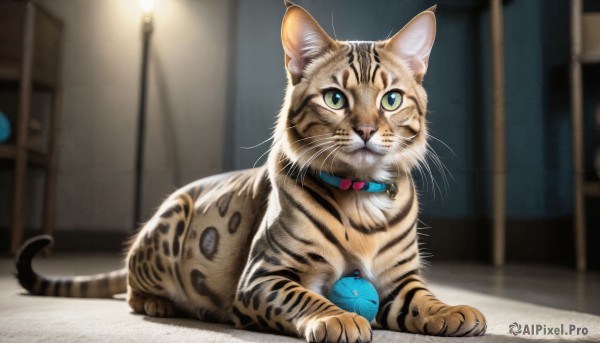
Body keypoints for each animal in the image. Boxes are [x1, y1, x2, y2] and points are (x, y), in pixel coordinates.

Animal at [16, 2, 488, 342]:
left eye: (391, 100)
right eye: (335, 98)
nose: (368, 130)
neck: (359, 199)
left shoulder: (399, 278)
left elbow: (423, 298)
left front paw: (452, 309)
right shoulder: (264, 275)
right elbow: (308, 299)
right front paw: (338, 317)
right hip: (169, 228)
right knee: (133, 288)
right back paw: (159, 303)